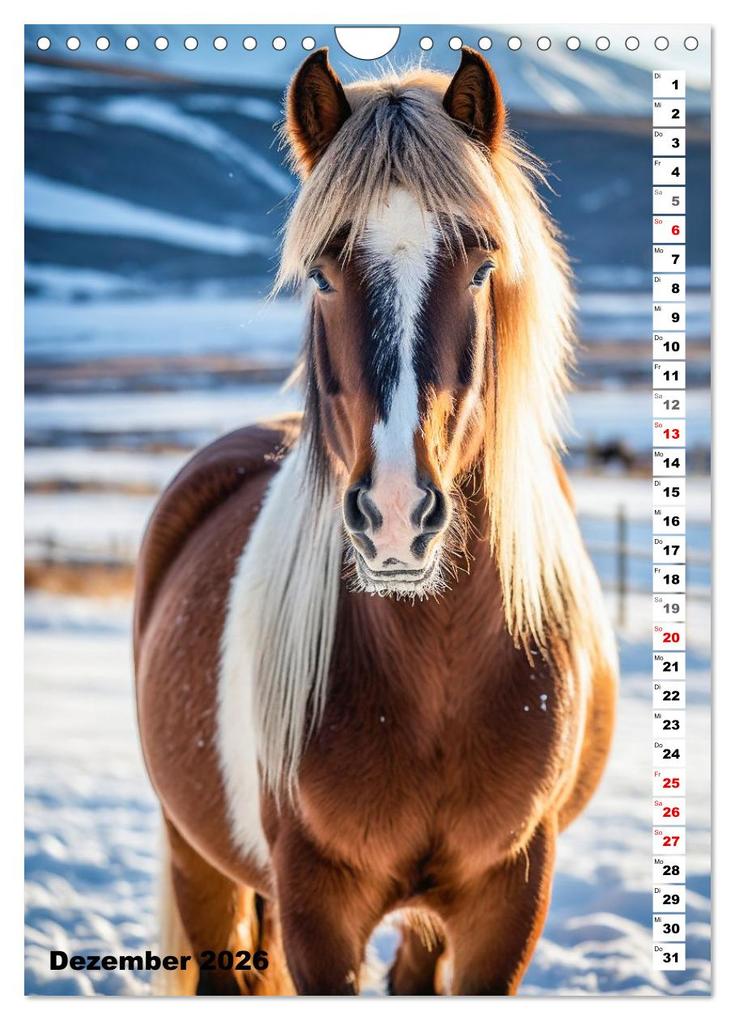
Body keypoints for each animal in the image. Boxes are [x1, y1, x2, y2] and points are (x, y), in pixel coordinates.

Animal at [134, 46, 617, 996]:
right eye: (322, 274)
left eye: (480, 266)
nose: (396, 517)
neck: (433, 673)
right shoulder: (314, 907)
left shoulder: (508, 899)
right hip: (195, 857)